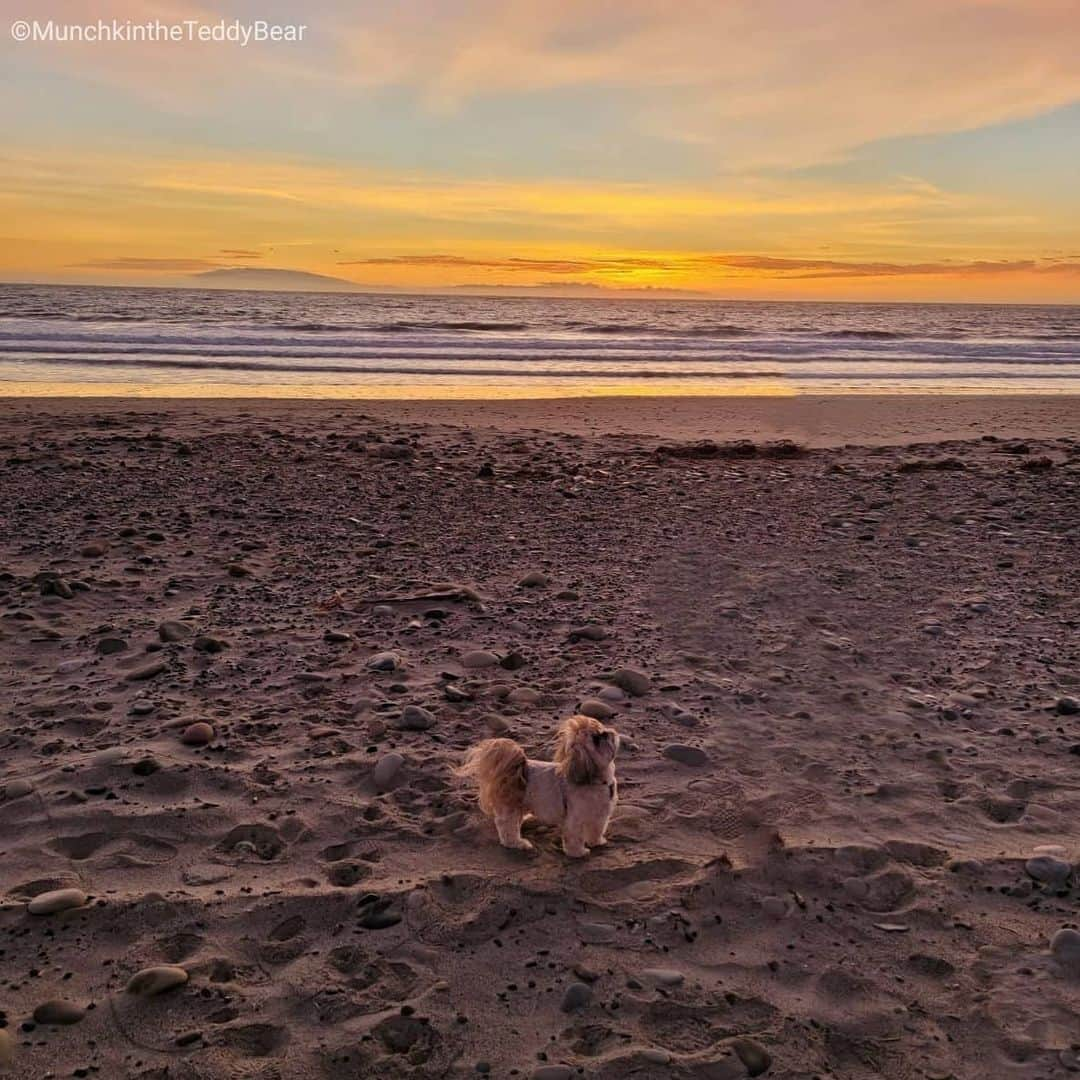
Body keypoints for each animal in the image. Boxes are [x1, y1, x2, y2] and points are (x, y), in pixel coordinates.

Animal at [457, 712, 622, 855]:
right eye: (596, 739)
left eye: (601, 730)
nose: (608, 732)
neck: (596, 780)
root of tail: (517, 768)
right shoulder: (575, 818)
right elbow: (574, 837)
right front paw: (578, 852)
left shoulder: (600, 815)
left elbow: (596, 830)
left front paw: (597, 842)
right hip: (511, 806)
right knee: (507, 827)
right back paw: (517, 843)